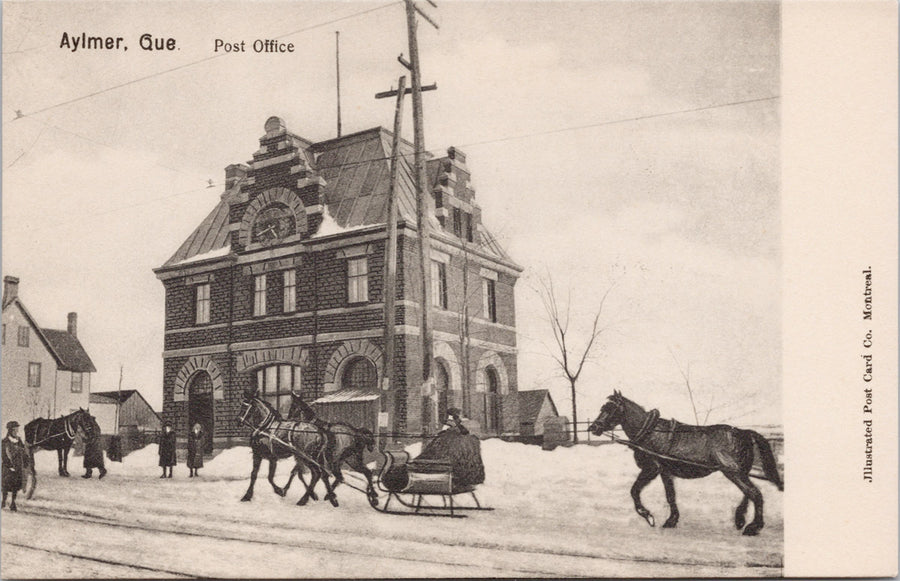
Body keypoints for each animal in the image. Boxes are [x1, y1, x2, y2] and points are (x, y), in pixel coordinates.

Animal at [588, 390, 784, 536]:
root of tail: (744, 432)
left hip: (733, 472)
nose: (593, 428)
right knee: (748, 493)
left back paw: (753, 527)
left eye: (611, 408)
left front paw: (647, 515)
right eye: (603, 407)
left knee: (755, 493)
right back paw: (740, 519)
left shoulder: (652, 469)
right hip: (738, 472)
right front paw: (671, 520)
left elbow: (634, 490)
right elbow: (670, 496)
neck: (650, 432)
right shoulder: (665, 471)